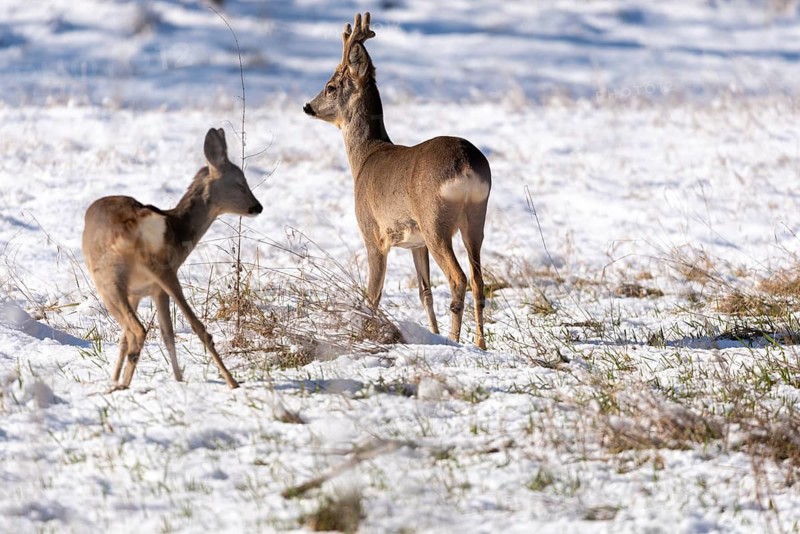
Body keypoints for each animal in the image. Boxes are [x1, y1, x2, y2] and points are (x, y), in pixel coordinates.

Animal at [82, 128, 262, 391]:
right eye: (240, 183)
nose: (257, 207)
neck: (179, 229)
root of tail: (132, 225)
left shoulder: (147, 290)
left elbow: (155, 334)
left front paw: (117, 379)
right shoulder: (142, 291)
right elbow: (153, 335)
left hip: (116, 278)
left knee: (140, 329)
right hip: (145, 275)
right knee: (152, 329)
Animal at [303, 12, 492, 349]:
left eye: (330, 86)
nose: (307, 106)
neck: (365, 157)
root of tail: (467, 164)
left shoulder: (372, 233)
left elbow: (372, 294)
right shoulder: (416, 243)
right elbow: (424, 293)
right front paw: (432, 333)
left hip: (435, 222)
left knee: (459, 278)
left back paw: (456, 340)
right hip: (475, 219)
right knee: (478, 280)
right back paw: (481, 344)